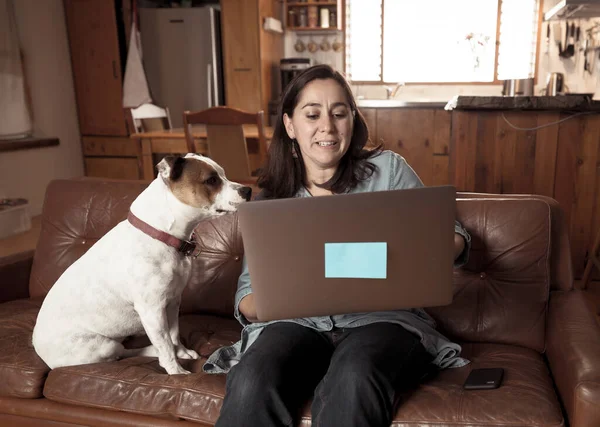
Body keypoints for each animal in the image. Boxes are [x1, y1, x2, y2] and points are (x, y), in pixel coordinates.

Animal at [31, 154, 252, 374]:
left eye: (223, 174)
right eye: (211, 180)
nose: (248, 190)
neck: (161, 235)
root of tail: (39, 351)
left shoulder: (173, 301)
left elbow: (173, 334)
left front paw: (181, 353)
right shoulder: (152, 311)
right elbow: (165, 344)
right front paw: (176, 371)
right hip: (102, 346)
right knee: (122, 352)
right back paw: (153, 352)